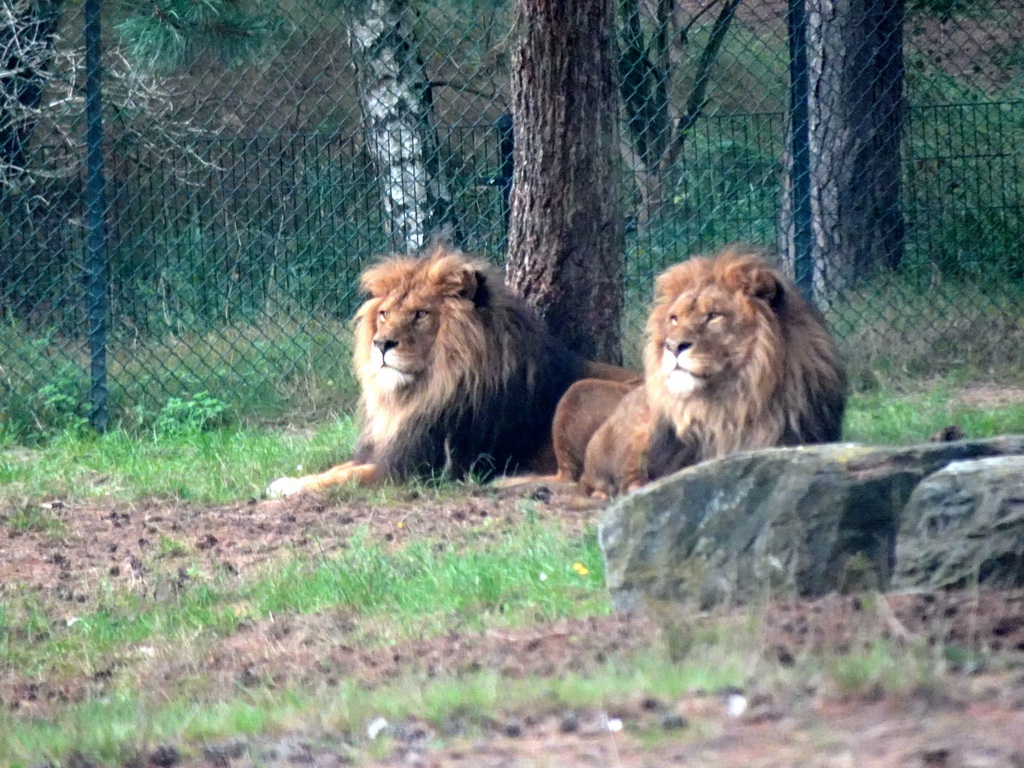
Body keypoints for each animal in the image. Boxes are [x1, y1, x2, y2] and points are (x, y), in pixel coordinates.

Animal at [268, 246, 634, 499]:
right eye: (384, 313)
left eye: (419, 314)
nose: (381, 344)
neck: (418, 394)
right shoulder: (390, 448)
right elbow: (339, 466)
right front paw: (288, 481)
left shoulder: (415, 469)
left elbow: (349, 476)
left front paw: (293, 490)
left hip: (580, 391)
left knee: (571, 478)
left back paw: (506, 481)